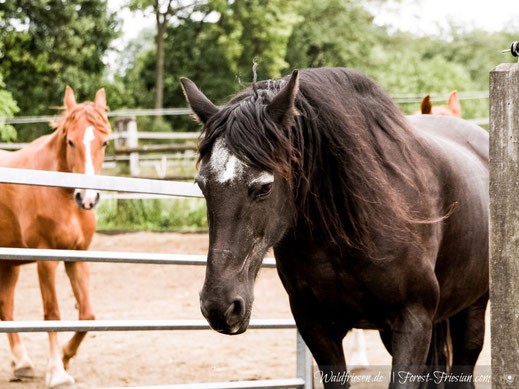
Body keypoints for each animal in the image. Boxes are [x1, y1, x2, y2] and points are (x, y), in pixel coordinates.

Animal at [0, 87, 109, 388]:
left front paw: (66, 355)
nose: (87, 198)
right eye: (70, 142)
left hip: (9, 265)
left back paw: (22, 363)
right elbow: (52, 314)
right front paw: (57, 372)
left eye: (104, 143)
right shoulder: (46, 260)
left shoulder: (77, 258)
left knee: (7, 309)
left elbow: (87, 315)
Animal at [181, 68, 490, 386]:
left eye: (264, 187)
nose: (219, 306)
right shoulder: (316, 325)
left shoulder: (413, 322)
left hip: (473, 309)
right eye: (201, 184)